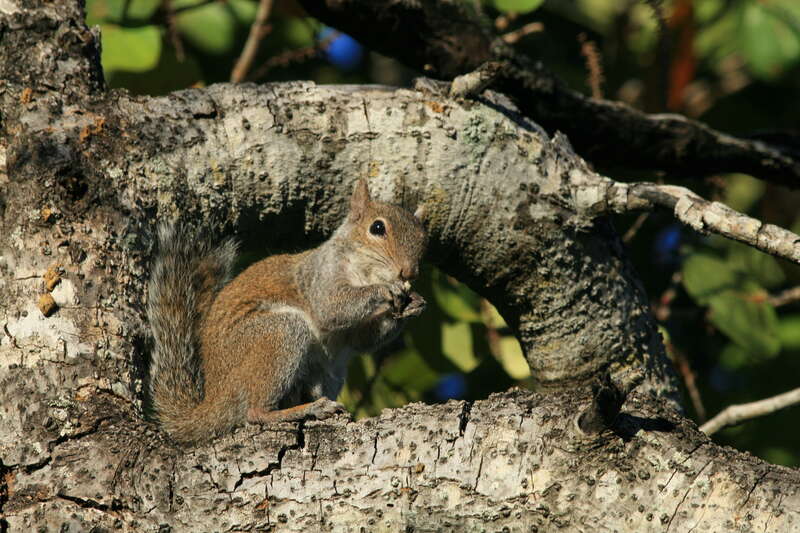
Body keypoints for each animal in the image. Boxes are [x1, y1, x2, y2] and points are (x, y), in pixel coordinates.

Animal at [147, 179, 428, 443]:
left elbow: (363, 340)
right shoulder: (320, 278)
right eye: (377, 228)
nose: (409, 272)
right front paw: (385, 289)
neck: (365, 272)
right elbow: (330, 308)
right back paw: (305, 410)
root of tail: (217, 396)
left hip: (326, 370)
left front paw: (414, 304)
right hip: (278, 336)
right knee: (254, 412)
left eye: (423, 239)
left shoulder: (353, 334)